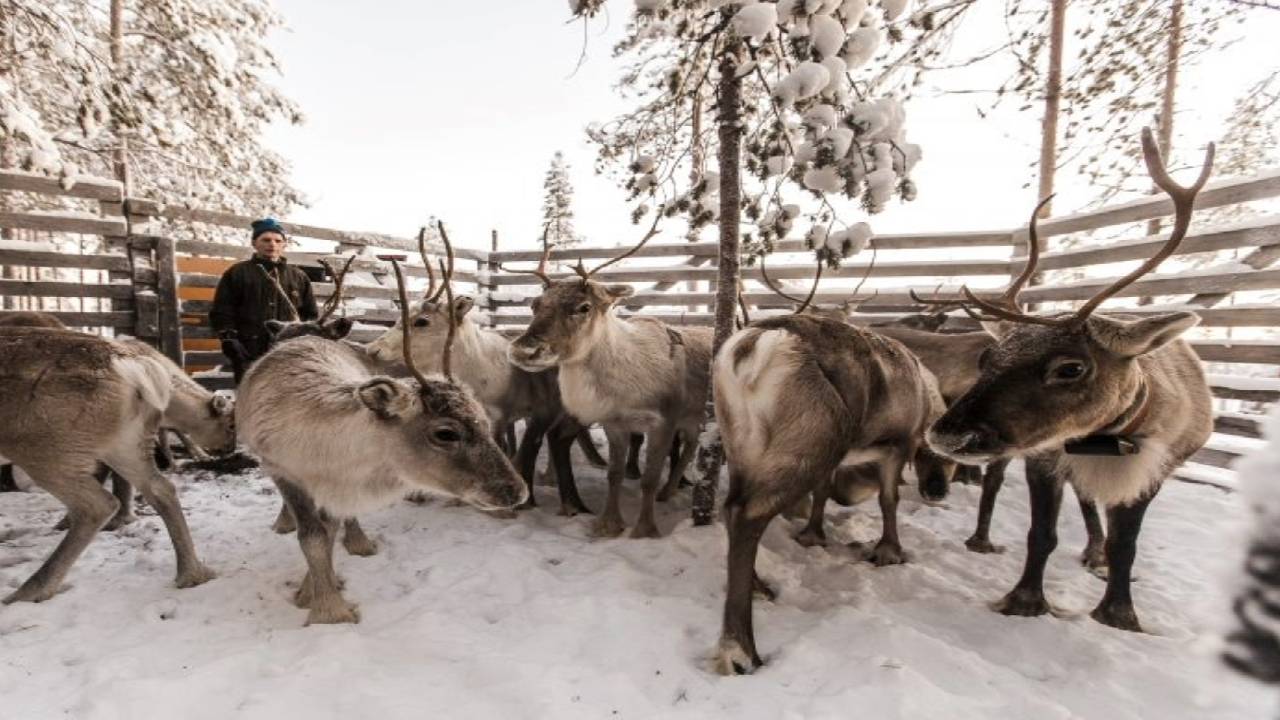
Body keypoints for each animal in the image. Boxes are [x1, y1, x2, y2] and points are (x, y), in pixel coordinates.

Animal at [0, 327, 223, 603]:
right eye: (230, 425)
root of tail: (133, 366)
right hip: (121, 442)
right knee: (161, 488)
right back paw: (191, 573)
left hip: (43, 448)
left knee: (96, 504)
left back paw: (31, 589)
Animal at [235, 254, 528, 625]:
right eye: (445, 433)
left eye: (482, 421)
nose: (517, 491)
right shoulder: (284, 471)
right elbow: (312, 536)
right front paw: (327, 608)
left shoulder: (337, 486)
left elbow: (328, 532)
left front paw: (319, 587)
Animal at [506, 219, 712, 539]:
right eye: (535, 304)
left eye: (584, 307)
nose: (524, 349)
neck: (627, 386)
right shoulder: (614, 423)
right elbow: (614, 475)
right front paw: (608, 524)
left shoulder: (664, 421)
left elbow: (648, 478)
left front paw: (645, 528)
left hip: (695, 415)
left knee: (690, 448)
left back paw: (668, 490)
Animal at [924, 128, 1214, 633]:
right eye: (988, 356)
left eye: (1071, 368)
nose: (948, 434)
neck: (1101, 438)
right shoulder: (1045, 457)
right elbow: (1042, 533)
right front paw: (1024, 599)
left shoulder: (1153, 471)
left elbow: (1126, 545)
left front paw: (1119, 613)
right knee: (1072, 499)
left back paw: (1096, 554)